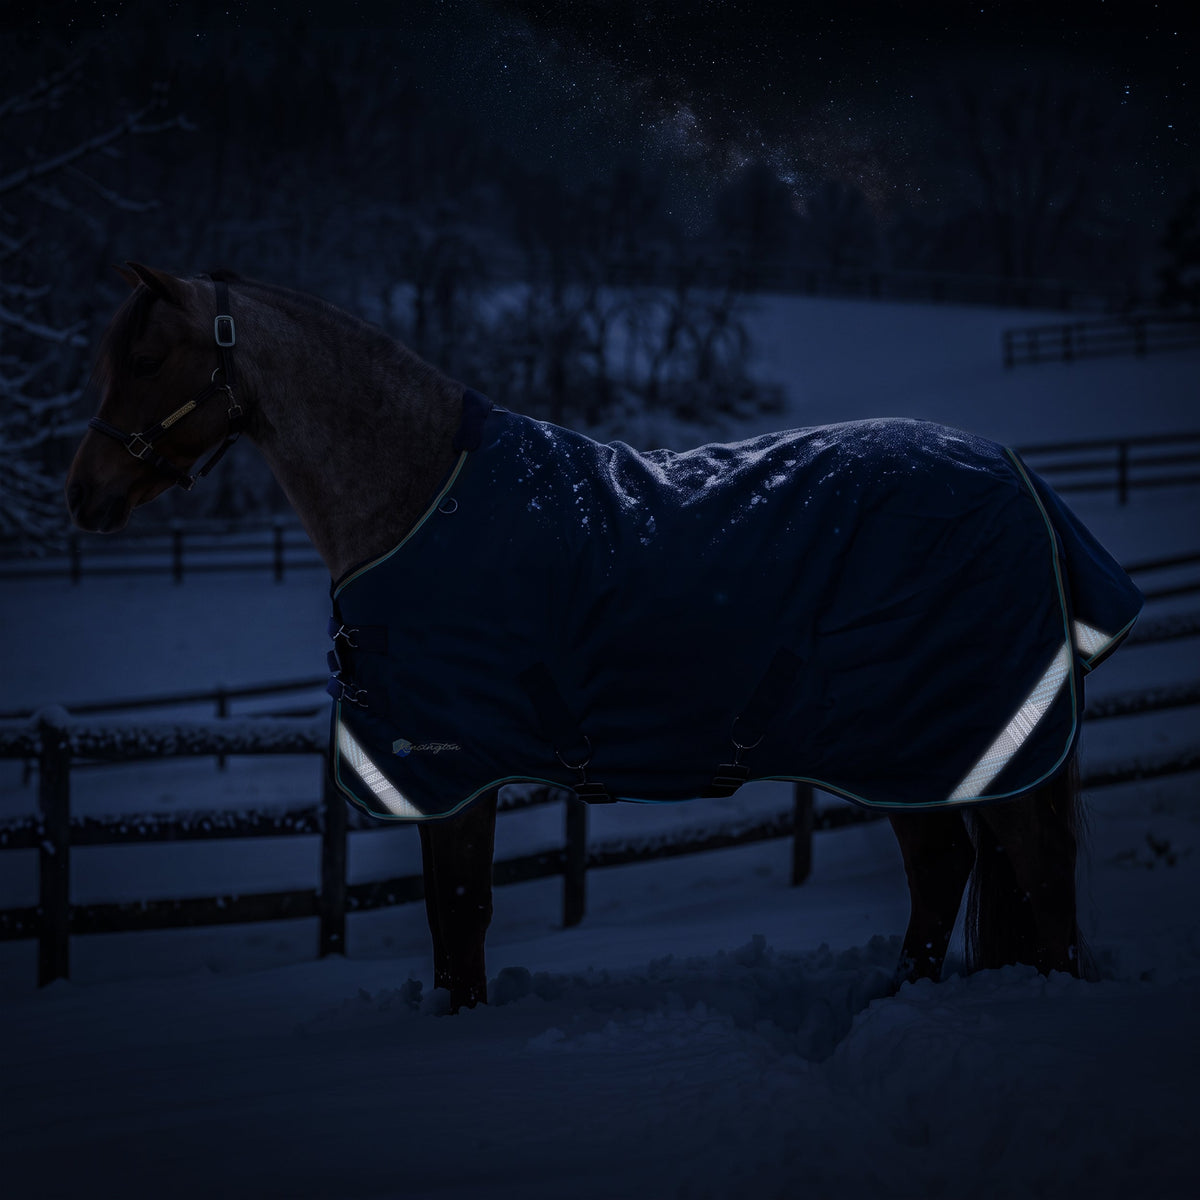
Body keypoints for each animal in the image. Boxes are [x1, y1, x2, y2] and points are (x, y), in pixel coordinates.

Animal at [67, 263, 1135, 1012]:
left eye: (149, 360)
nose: (84, 496)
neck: (417, 496)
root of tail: (1019, 481)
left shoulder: (452, 769)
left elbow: (461, 915)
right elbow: (453, 921)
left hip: (938, 739)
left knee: (1025, 873)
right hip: (913, 751)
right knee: (951, 868)